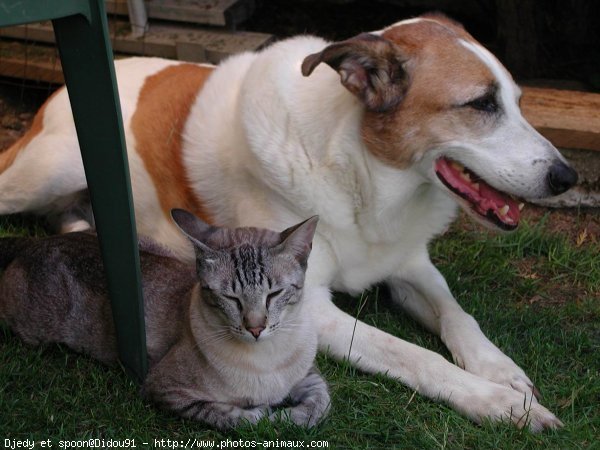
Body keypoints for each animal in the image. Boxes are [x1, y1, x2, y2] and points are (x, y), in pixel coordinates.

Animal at [0, 210, 328, 428]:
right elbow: (238, 418)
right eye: (231, 298)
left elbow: (321, 401)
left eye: (274, 294)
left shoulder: (307, 374)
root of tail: (35, 243)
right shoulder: (164, 389)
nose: (256, 328)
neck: (267, 359)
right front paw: (265, 414)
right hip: (35, 332)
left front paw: (292, 416)